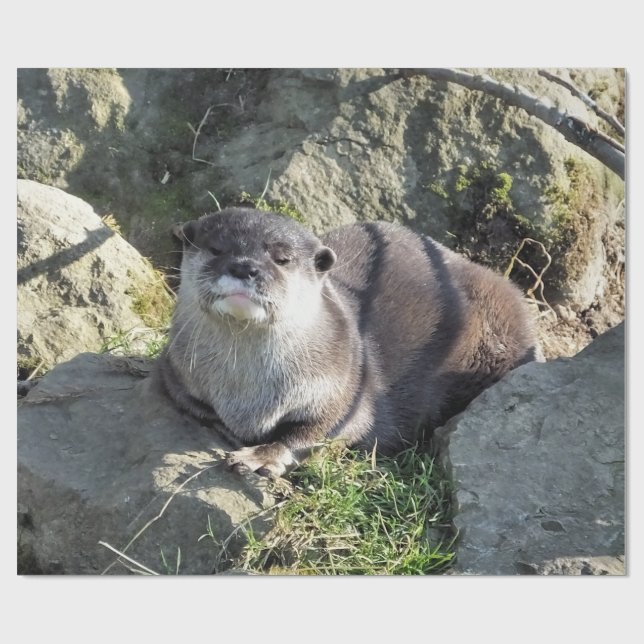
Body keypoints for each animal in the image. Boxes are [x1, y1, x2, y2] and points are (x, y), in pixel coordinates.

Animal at [156, 207, 538, 477]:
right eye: (216, 248)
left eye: (282, 258)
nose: (244, 267)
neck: (247, 396)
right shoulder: (175, 370)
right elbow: (197, 407)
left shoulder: (346, 386)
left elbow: (319, 431)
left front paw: (261, 455)